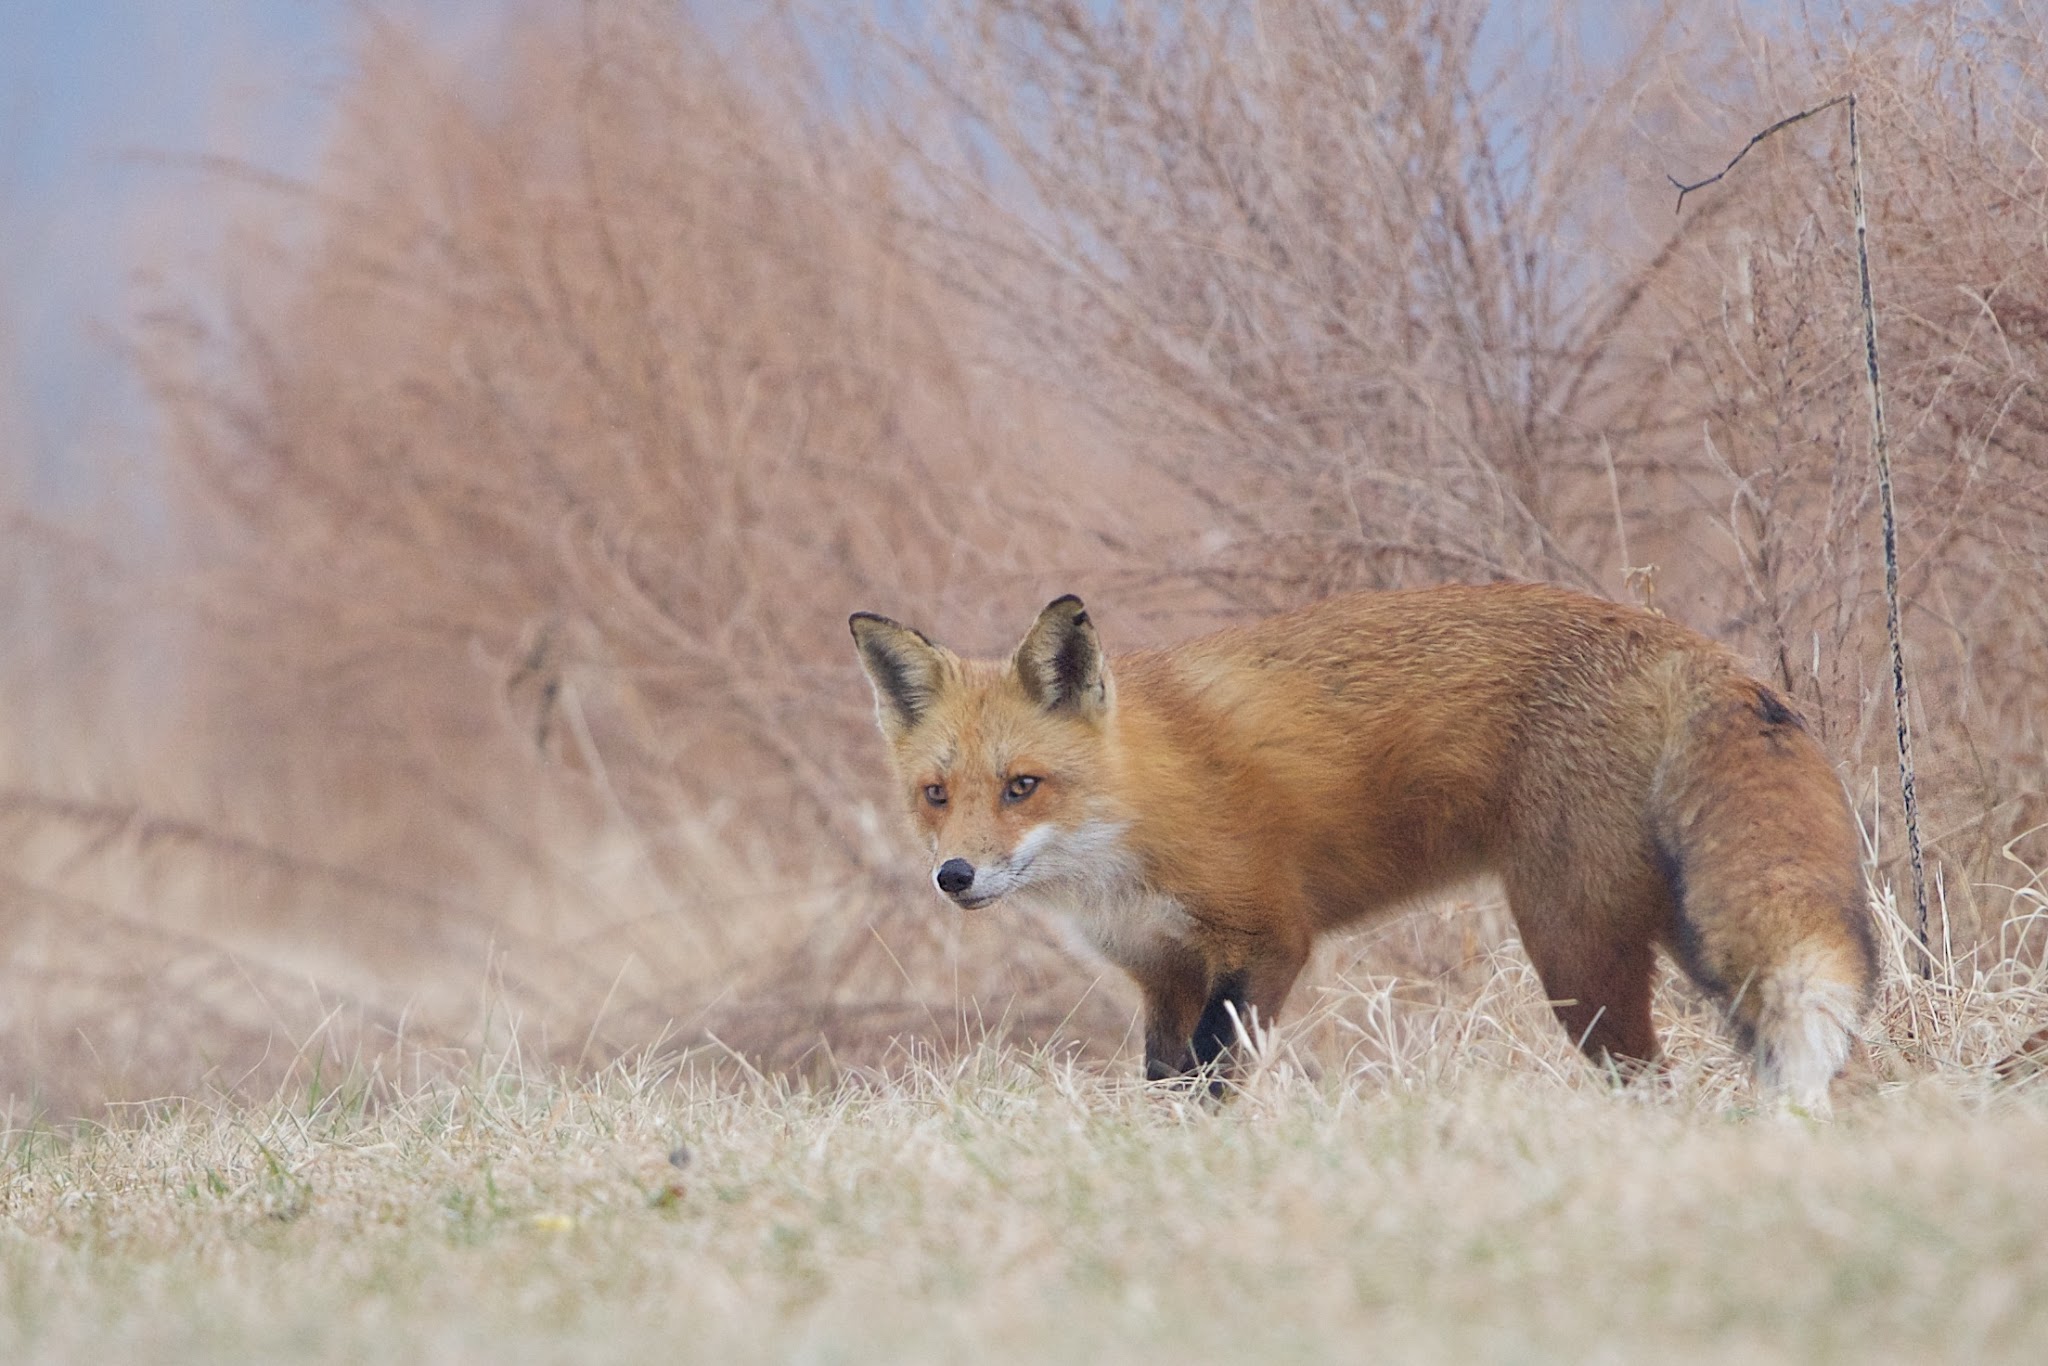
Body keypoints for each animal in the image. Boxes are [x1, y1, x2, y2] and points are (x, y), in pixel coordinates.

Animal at [849, 583, 1877, 1109]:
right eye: (936, 796)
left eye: (1021, 786)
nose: (954, 875)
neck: (1133, 808)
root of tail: (1678, 640)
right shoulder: (1162, 974)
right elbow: (1165, 1086)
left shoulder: (1266, 940)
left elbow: (1214, 1077)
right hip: (1679, 930)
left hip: (1574, 952)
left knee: (1649, 1076)